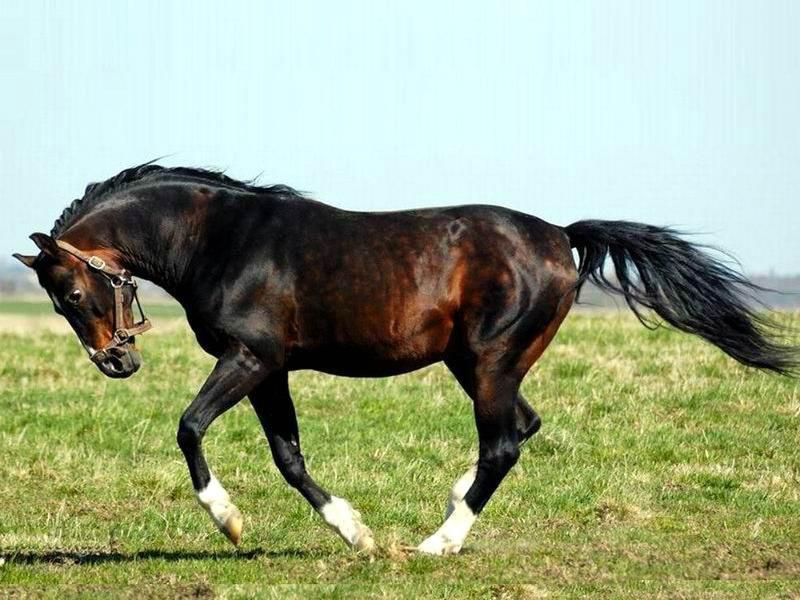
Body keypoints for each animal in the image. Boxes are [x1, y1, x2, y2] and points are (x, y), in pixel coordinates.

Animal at [14, 162, 800, 556]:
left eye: (75, 291)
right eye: (58, 302)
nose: (117, 364)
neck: (220, 241)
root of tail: (561, 236)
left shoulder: (249, 357)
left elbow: (189, 427)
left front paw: (230, 522)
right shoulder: (273, 369)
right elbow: (289, 456)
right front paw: (356, 533)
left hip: (489, 362)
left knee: (504, 442)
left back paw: (438, 542)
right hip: (478, 364)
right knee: (523, 428)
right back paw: (447, 508)